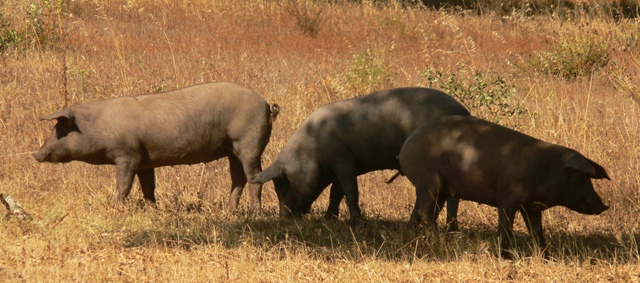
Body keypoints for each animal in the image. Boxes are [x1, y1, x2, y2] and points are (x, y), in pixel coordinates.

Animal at [34, 82, 280, 213]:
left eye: (60, 128)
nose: (37, 154)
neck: (98, 127)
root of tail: (267, 106)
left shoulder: (127, 155)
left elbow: (124, 185)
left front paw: (117, 208)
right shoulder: (145, 161)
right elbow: (148, 187)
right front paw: (153, 209)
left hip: (249, 143)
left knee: (254, 177)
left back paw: (255, 213)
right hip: (232, 150)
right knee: (237, 178)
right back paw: (229, 212)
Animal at [251, 87, 470, 225]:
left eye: (282, 184)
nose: (284, 218)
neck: (312, 151)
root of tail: (463, 111)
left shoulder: (344, 161)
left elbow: (350, 191)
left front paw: (356, 222)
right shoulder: (342, 167)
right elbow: (336, 193)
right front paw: (328, 218)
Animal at [398, 116, 612, 260]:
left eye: (589, 178)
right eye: (580, 178)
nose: (603, 206)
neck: (546, 171)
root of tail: (406, 146)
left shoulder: (532, 208)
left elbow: (536, 231)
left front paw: (546, 257)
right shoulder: (507, 199)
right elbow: (506, 228)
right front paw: (505, 257)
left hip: (438, 189)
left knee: (422, 213)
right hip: (430, 181)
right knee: (425, 212)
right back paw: (441, 241)